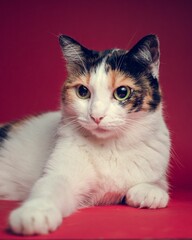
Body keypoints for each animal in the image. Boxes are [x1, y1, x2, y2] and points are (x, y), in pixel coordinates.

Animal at [0, 34, 171, 235]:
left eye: (122, 92)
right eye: (82, 91)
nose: (96, 116)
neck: (110, 147)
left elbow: (158, 182)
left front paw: (150, 191)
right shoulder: (60, 173)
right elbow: (49, 188)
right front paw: (34, 213)